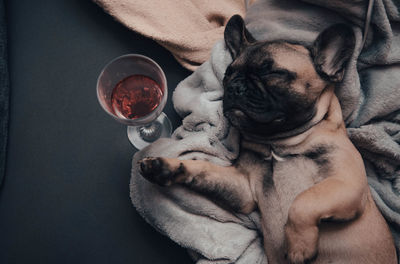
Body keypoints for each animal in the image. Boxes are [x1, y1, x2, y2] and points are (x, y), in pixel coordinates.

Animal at [138, 14, 396, 264]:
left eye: (273, 73)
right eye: (228, 74)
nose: (235, 87)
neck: (279, 144)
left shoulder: (346, 184)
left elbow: (304, 201)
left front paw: (299, 247)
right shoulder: (244, 189)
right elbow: (203, 169)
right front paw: (166, 167)